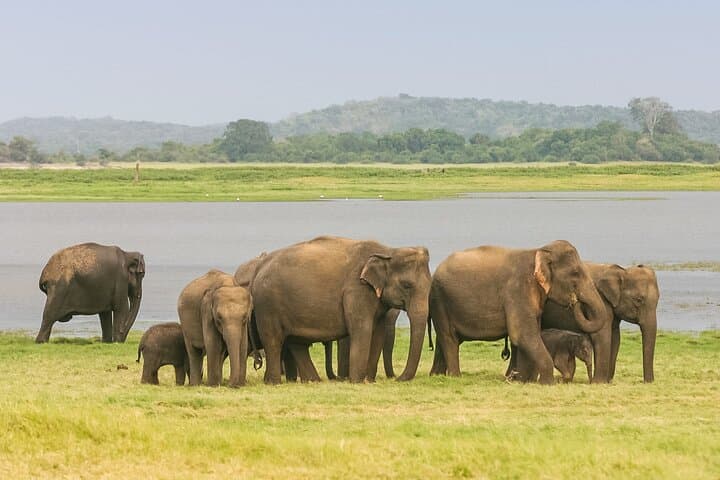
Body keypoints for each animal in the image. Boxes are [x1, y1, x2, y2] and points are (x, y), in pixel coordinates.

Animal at [249, 235, 432, 384]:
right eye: (406, 286)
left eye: (430, 286)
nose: (397, 379)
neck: (388, 251)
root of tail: (258, 269)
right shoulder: (356, 290)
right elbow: (362, 330)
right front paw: (357, 381)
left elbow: (378, 333)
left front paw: (369, 380)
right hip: (268, 305)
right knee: (273, 341)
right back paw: (273, 382)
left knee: (297, 343)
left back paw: (313, 381)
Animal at [429, 240, 606, 385]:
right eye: (575, 273)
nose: (575, 301)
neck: (538, 251)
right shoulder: (517, 290)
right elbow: (523, 334)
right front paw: (547, 383)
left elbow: (527, 336)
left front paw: (520, 381)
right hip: (440, 300)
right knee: (449, 338)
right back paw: (455, 377)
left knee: (445, 340)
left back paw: (436, 376)